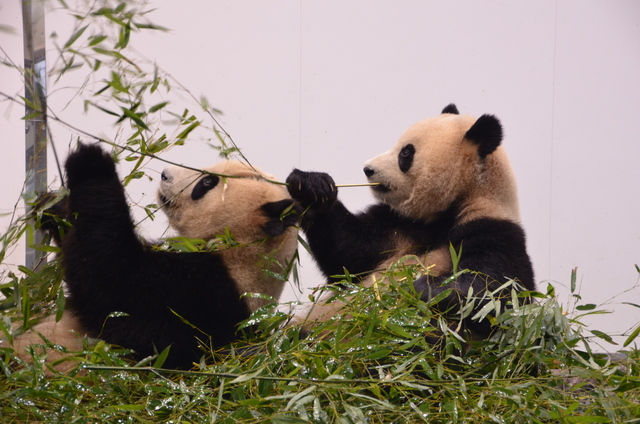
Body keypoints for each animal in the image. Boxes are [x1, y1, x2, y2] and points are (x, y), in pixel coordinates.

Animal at [4, 144, 300, 370]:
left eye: (207, 182)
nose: (165, 174)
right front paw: (52, 205)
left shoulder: (203, 296)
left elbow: (111, 282)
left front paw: (92, 162)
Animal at [288, 104, 536, 336]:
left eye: (406, 153)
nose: (368, 169)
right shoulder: (399, 224)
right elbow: (348, 256)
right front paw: (311, 187)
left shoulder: (492, 227)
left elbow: (497, 291)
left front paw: (417, 287)